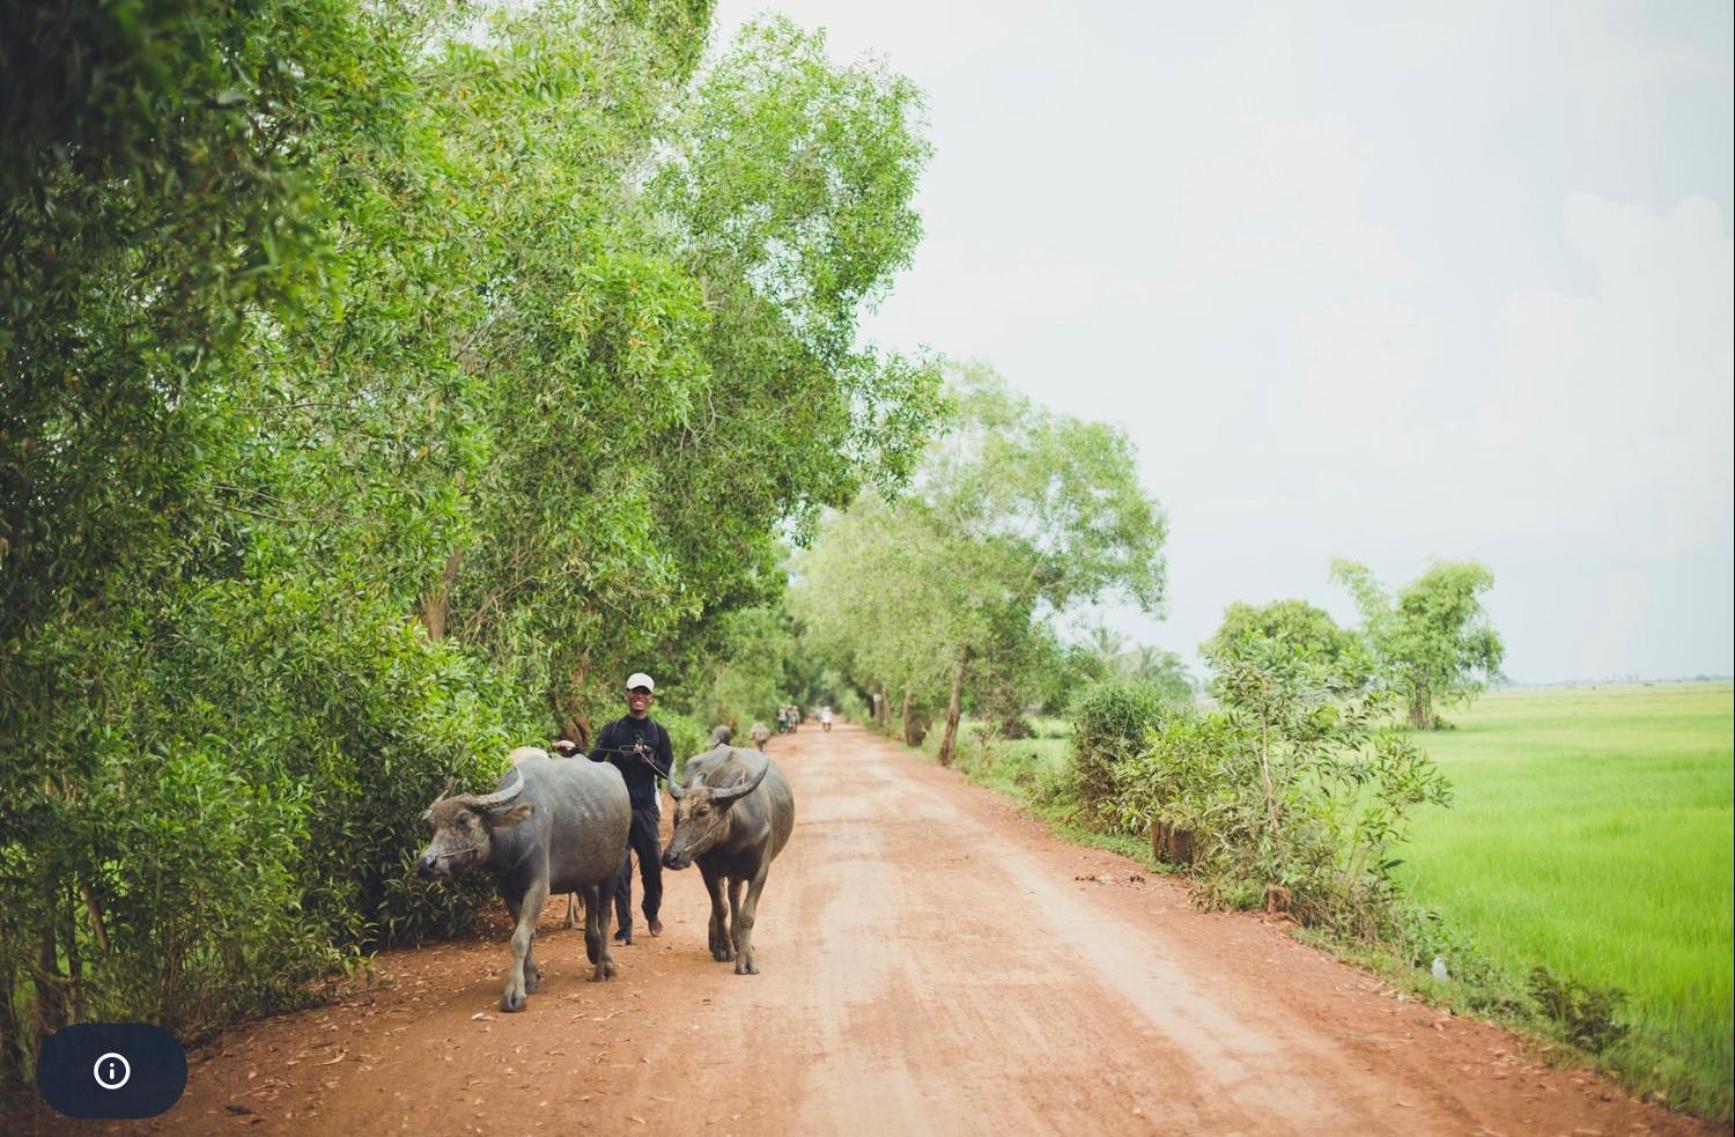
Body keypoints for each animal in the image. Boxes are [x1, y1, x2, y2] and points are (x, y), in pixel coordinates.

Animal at [416, 753, 635, 1006]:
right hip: (587, 869)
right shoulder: (508, 890)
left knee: (605, 916)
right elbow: (525, 935)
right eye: (431, 826)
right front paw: (530, 978)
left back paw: (604, 967)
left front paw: (514, 993)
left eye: (463, 821)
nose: (425, 864)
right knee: (591, 899)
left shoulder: (538, 886)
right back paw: (593, 947)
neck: (514, 840)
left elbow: (519, 938)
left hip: (613, 867)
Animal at [659, 746, 794, 979]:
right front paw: (723, 947)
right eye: (677, 814)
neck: (732, 839)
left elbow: (747, 915)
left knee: (734, 895)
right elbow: (720, 907)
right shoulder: (708, 870)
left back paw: (738, 939)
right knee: (724, 899)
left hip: (738, 873)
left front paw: (746, 960)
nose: (670, 857)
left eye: (702, 812)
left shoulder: (761, 870)